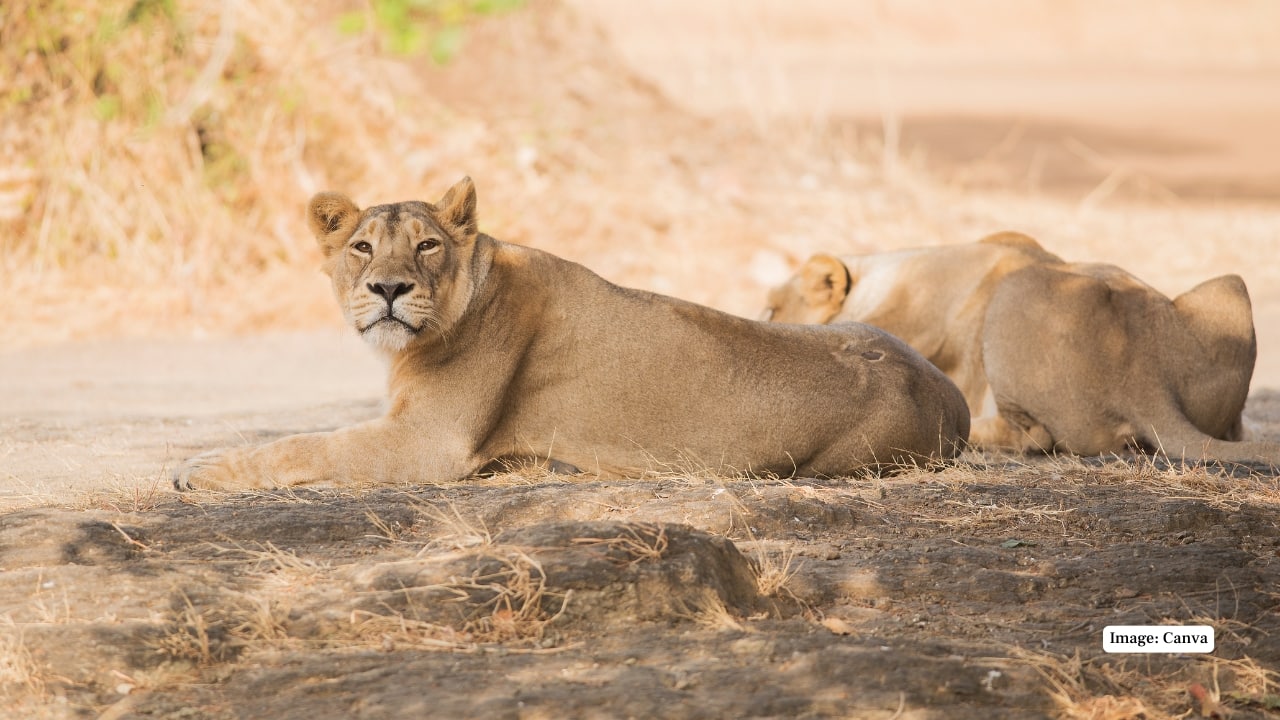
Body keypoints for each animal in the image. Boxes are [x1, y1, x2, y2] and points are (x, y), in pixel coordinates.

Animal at [174, 178, 969, 491]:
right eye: (362, 248)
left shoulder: (428, 442)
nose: (389, 290)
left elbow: (301, 446)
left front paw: (198, 470)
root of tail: (953, 398)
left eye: (426, 246)